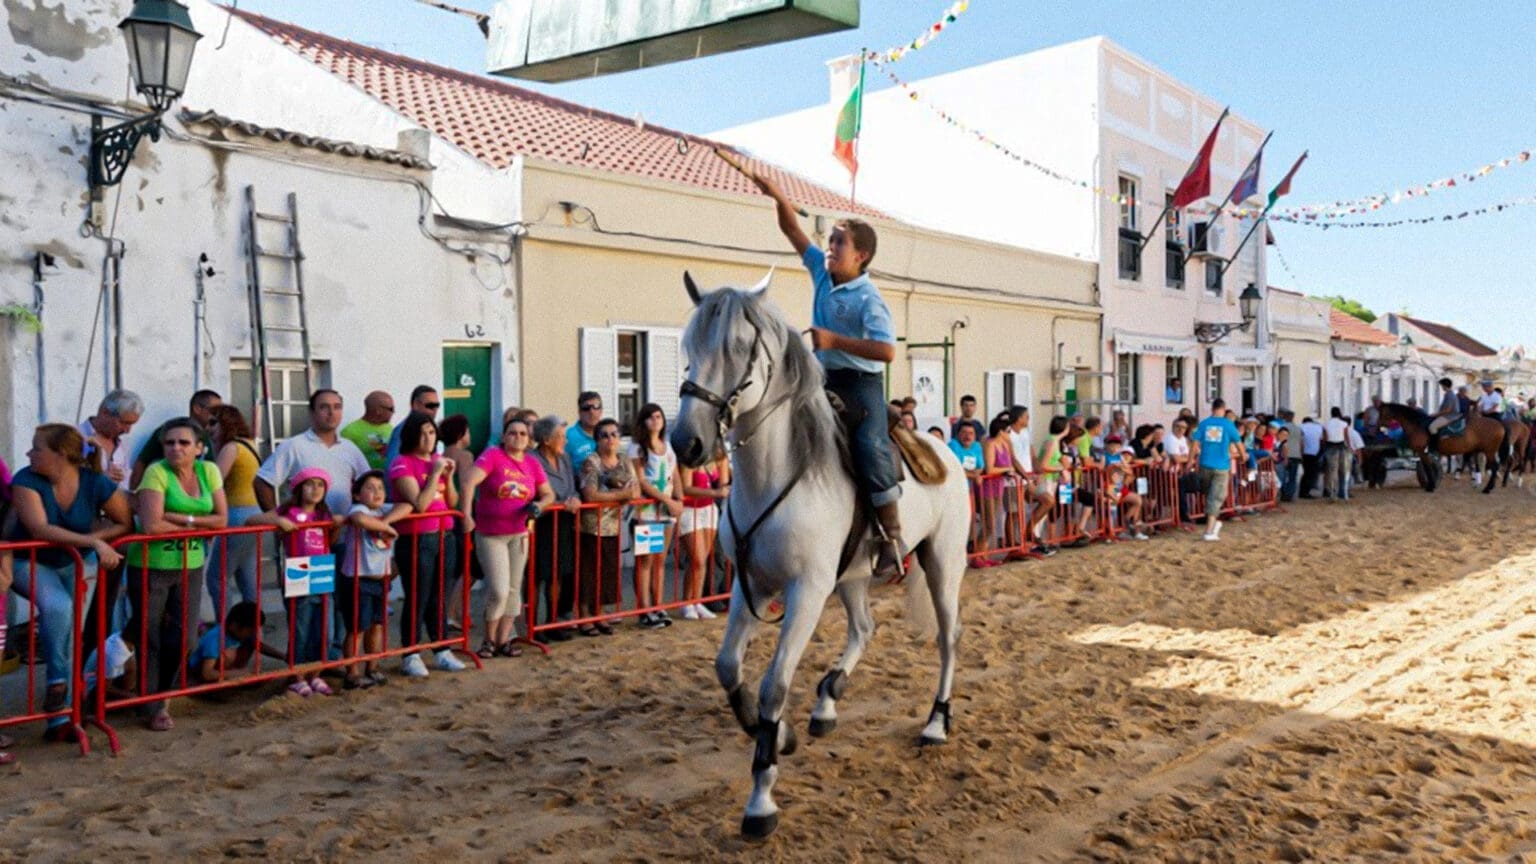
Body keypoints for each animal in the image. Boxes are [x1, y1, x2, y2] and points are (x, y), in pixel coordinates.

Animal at [666, 269, 964, 836]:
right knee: (864, 628)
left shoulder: (805, 591)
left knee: (947, 640)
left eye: (739, 348)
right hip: (851, 577)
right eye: (689, 347)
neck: (776, 473)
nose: (685, 443)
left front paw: (762, 795)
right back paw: (828, 700)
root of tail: (946, 450)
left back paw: (936, 722)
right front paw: (778, 735)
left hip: (943, 566)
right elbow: (728, 667)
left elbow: (773, 685)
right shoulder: (750, 583)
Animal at [1376, 402, 1505, 491]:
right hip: (1482, 450)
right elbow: (1428, 466)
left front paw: (1431, 486)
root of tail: (1499, 425)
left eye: (1382, 413)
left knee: (1494, 467)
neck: (1418, 425)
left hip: (1489, 451)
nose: (1379, 427)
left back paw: (1487, 488)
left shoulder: (1422, 451)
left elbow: (1428, 467)